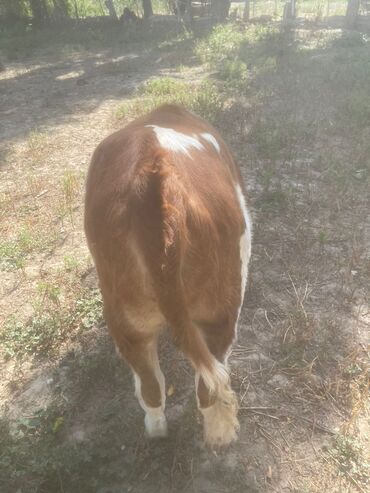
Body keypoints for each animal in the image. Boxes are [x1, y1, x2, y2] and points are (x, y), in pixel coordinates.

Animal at [84, 104, 251, 446]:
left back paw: (157, 430)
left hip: (128, 320)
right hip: (224, 304)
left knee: (151, 385)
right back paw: (221, 436)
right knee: (210, 383)